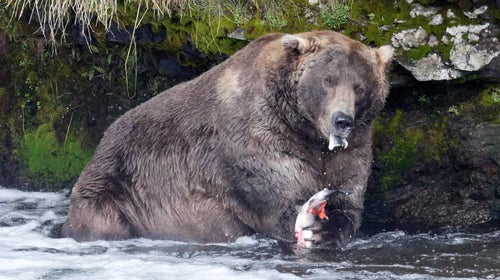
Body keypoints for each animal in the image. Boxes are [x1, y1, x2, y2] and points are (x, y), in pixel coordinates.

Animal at [59, 30, 394, 247]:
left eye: (359, 86)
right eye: (328, 80)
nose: (342, 120)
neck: (306, 131)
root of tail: (101, 142)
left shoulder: (352, 149)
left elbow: (349, 200)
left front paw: (328, 229)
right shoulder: (254, 138)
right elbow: (273, 194)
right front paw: (306, 221)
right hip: (117, 188)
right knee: (102, 219)